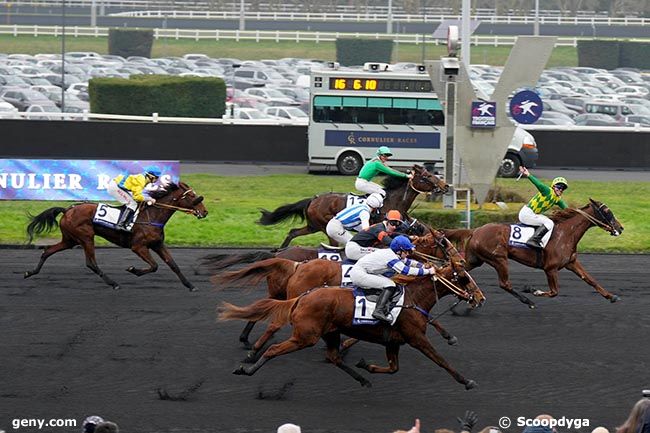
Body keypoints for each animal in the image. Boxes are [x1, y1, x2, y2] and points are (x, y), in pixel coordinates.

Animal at [24, 181, 208, 290]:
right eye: (192, 196)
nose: (205, 212)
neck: (153, 216)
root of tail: (67, 210)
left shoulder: (157, 244)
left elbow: (173, 265)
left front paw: (190, 285)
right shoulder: (138, 247)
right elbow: (154, 265)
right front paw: (133, 270)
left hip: (70, 240)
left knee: (47, 251)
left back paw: (30, 272)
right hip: (85, 237)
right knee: (91, 263)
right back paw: (114, 284)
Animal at [218, 264, 480, 390]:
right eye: (463, 277)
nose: (479, 297)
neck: (412, 299)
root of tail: (303, 296)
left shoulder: (392, 340)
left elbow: (393, 368)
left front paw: (367, 365)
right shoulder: (416, 338)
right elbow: (441, 360)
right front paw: (466, 381)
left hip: (330, 333)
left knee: (333, 357)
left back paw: (363, 379)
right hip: (306, 336)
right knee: (274, 349)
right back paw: (247, 368)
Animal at [256, 164, 448, 248]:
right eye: (426, 176)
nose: (446, 186)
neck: (393, 201)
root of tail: (313, 199)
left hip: (313, 226)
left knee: (293, 232)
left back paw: (280, 251)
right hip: (325, 226)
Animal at [440, 199, 624, 308]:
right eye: (607, 212)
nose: (620, 228)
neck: (566, 233)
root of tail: (475, 230)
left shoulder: (571, 262)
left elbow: (590, 280)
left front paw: (611, 296)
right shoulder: (550, 268)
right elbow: (554, 292)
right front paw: (533, 290)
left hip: (475, 259)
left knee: (456, 270)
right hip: (499, 259)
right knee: (504, 284)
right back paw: (528, 301)